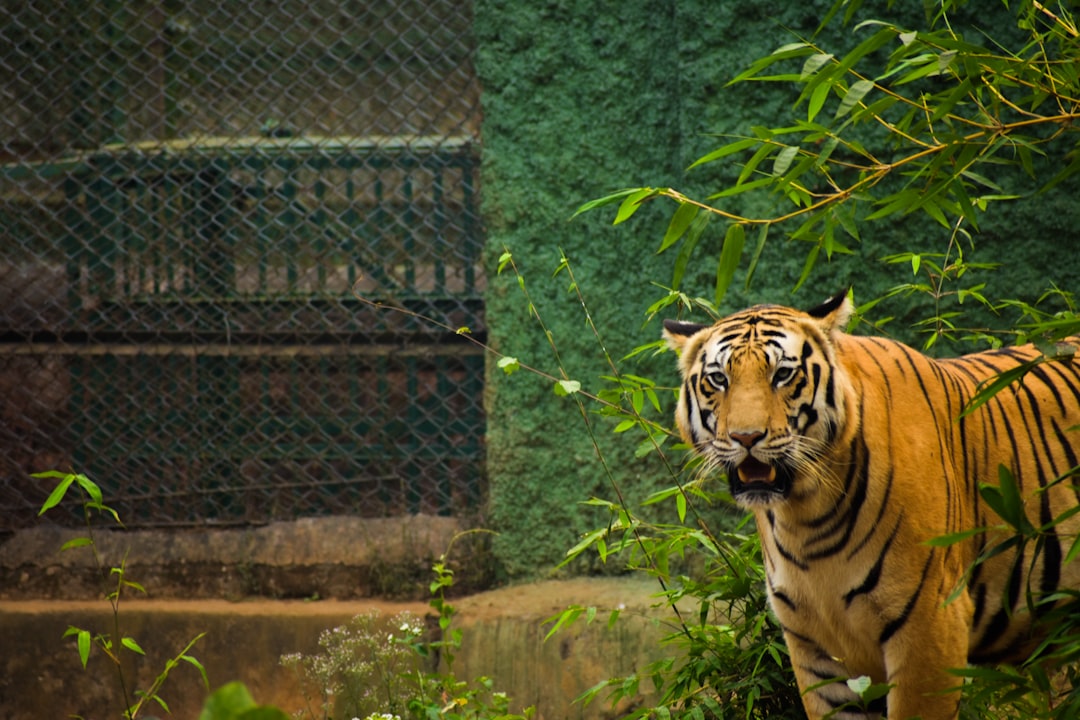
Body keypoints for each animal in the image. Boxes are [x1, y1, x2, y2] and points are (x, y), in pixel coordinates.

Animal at [662, 288, 1080, 720]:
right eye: (718, 379)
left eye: (783, 375)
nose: (746, 437)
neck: (803, 517)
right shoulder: (815, 647)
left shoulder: (931, 627)